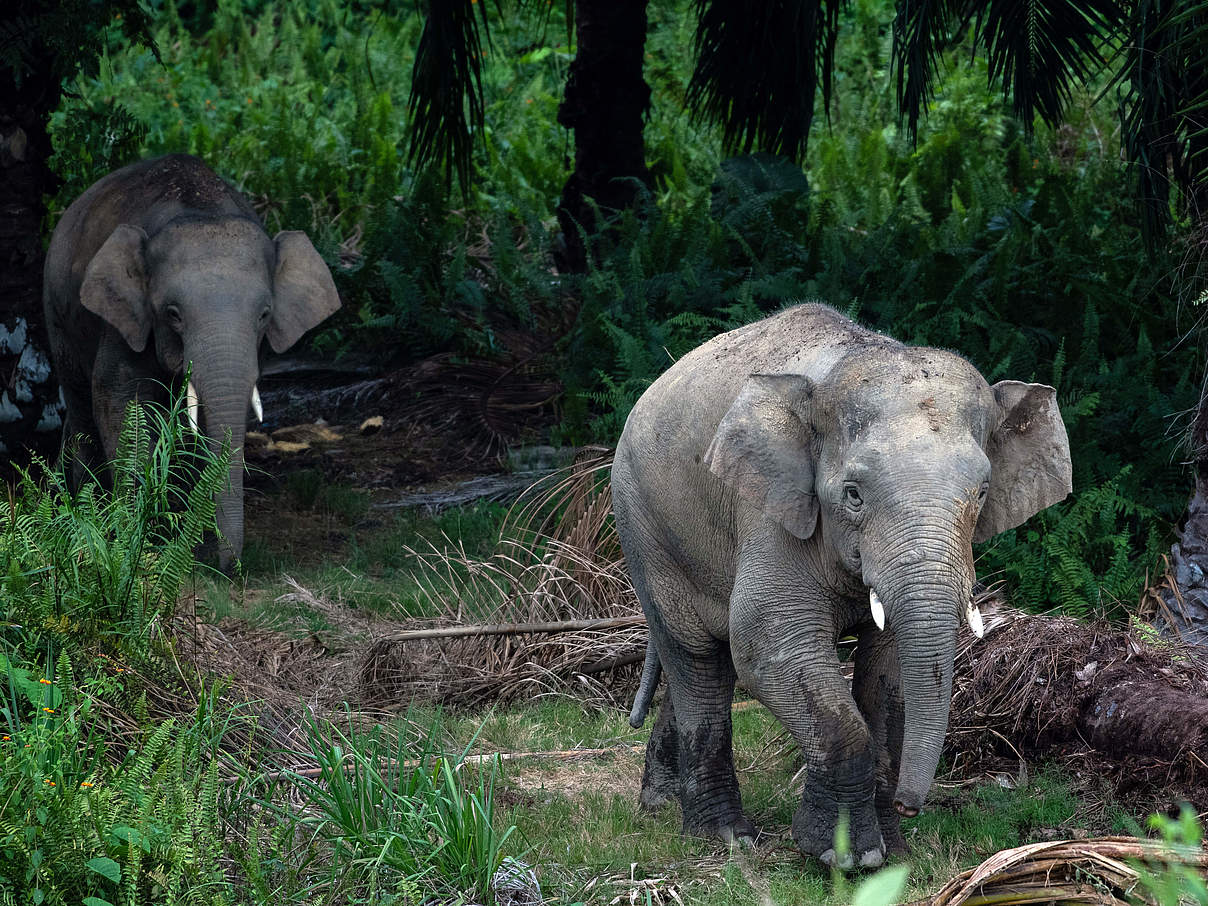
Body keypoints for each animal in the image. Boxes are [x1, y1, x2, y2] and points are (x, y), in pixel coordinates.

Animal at [45, 152, 340, 570]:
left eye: (264, 315)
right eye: (173, 314)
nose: (229, 567)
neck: (199, 209)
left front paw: (184, 540)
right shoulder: (123, 322)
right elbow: (121, 401)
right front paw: (138, 540)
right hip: (57, 312)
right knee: (81, 402)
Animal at [618, 306, 1072, 874]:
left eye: (983, 492)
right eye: (853, 494)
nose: (909, 804)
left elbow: (890, 671)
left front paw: (892, 854)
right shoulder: (773, 515)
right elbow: (768, 648)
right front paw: (846, 856)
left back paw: (660, 805)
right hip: (645, 528)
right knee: (698, 657)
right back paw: (724, 837)